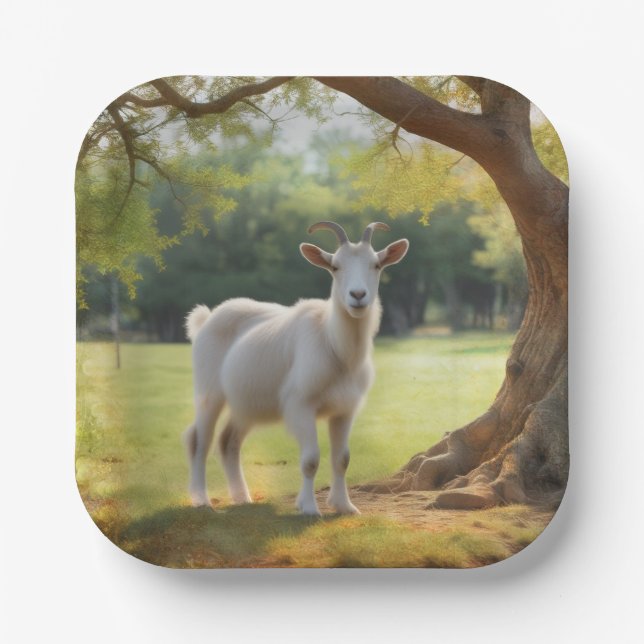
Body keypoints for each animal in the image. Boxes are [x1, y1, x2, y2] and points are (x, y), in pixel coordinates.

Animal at [183, 221, 409, 515]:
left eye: (377, 265)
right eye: (335, 267)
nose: (358, 296)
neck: (333, 344)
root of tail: (206, 319)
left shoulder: (345, 409)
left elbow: (342, 459)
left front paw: (344, 506)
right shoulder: (301, 404)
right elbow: (310, 459)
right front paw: (309, 509)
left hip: (246, 402)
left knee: (228, 441)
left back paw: (242, 497)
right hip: (208, 392)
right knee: (199, 440)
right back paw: (202, 500)